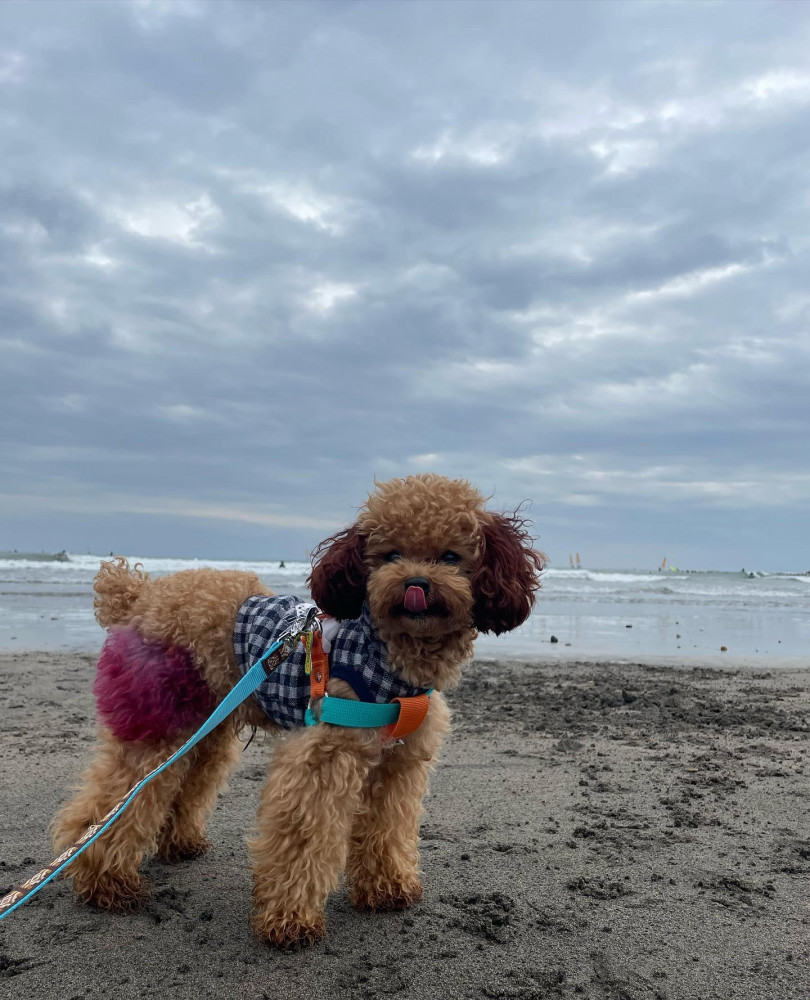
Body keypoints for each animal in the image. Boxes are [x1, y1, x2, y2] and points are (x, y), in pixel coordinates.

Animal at [50, 474, 544, 944]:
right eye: (389, 555)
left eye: (450, 557)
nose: (416, 585)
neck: (389, 657)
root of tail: (140, 593)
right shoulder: (322, 757)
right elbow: (305, 839)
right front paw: (290, 920)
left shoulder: (400, 764)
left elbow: (387, 826)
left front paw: (386, 888)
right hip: (160, 713)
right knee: (119, 794)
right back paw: (104, 881)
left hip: (210, 720)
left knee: (187, 776)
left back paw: (179, 843)